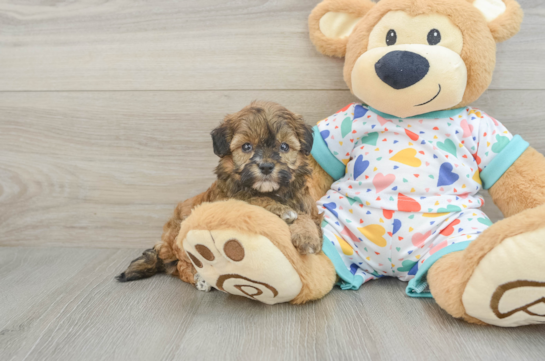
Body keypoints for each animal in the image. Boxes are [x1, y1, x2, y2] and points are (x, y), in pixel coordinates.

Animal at [118, 100, 324, 286]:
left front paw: (308, 237)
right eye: (247, 147)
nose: (266, 166)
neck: (273, 191)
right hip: (180, 238)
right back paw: (199, 278)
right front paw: (281, 210)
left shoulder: (306, 204)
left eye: (284, 147)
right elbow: (254, 199)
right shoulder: (229, 198)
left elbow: (306, 217)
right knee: (181, 266)